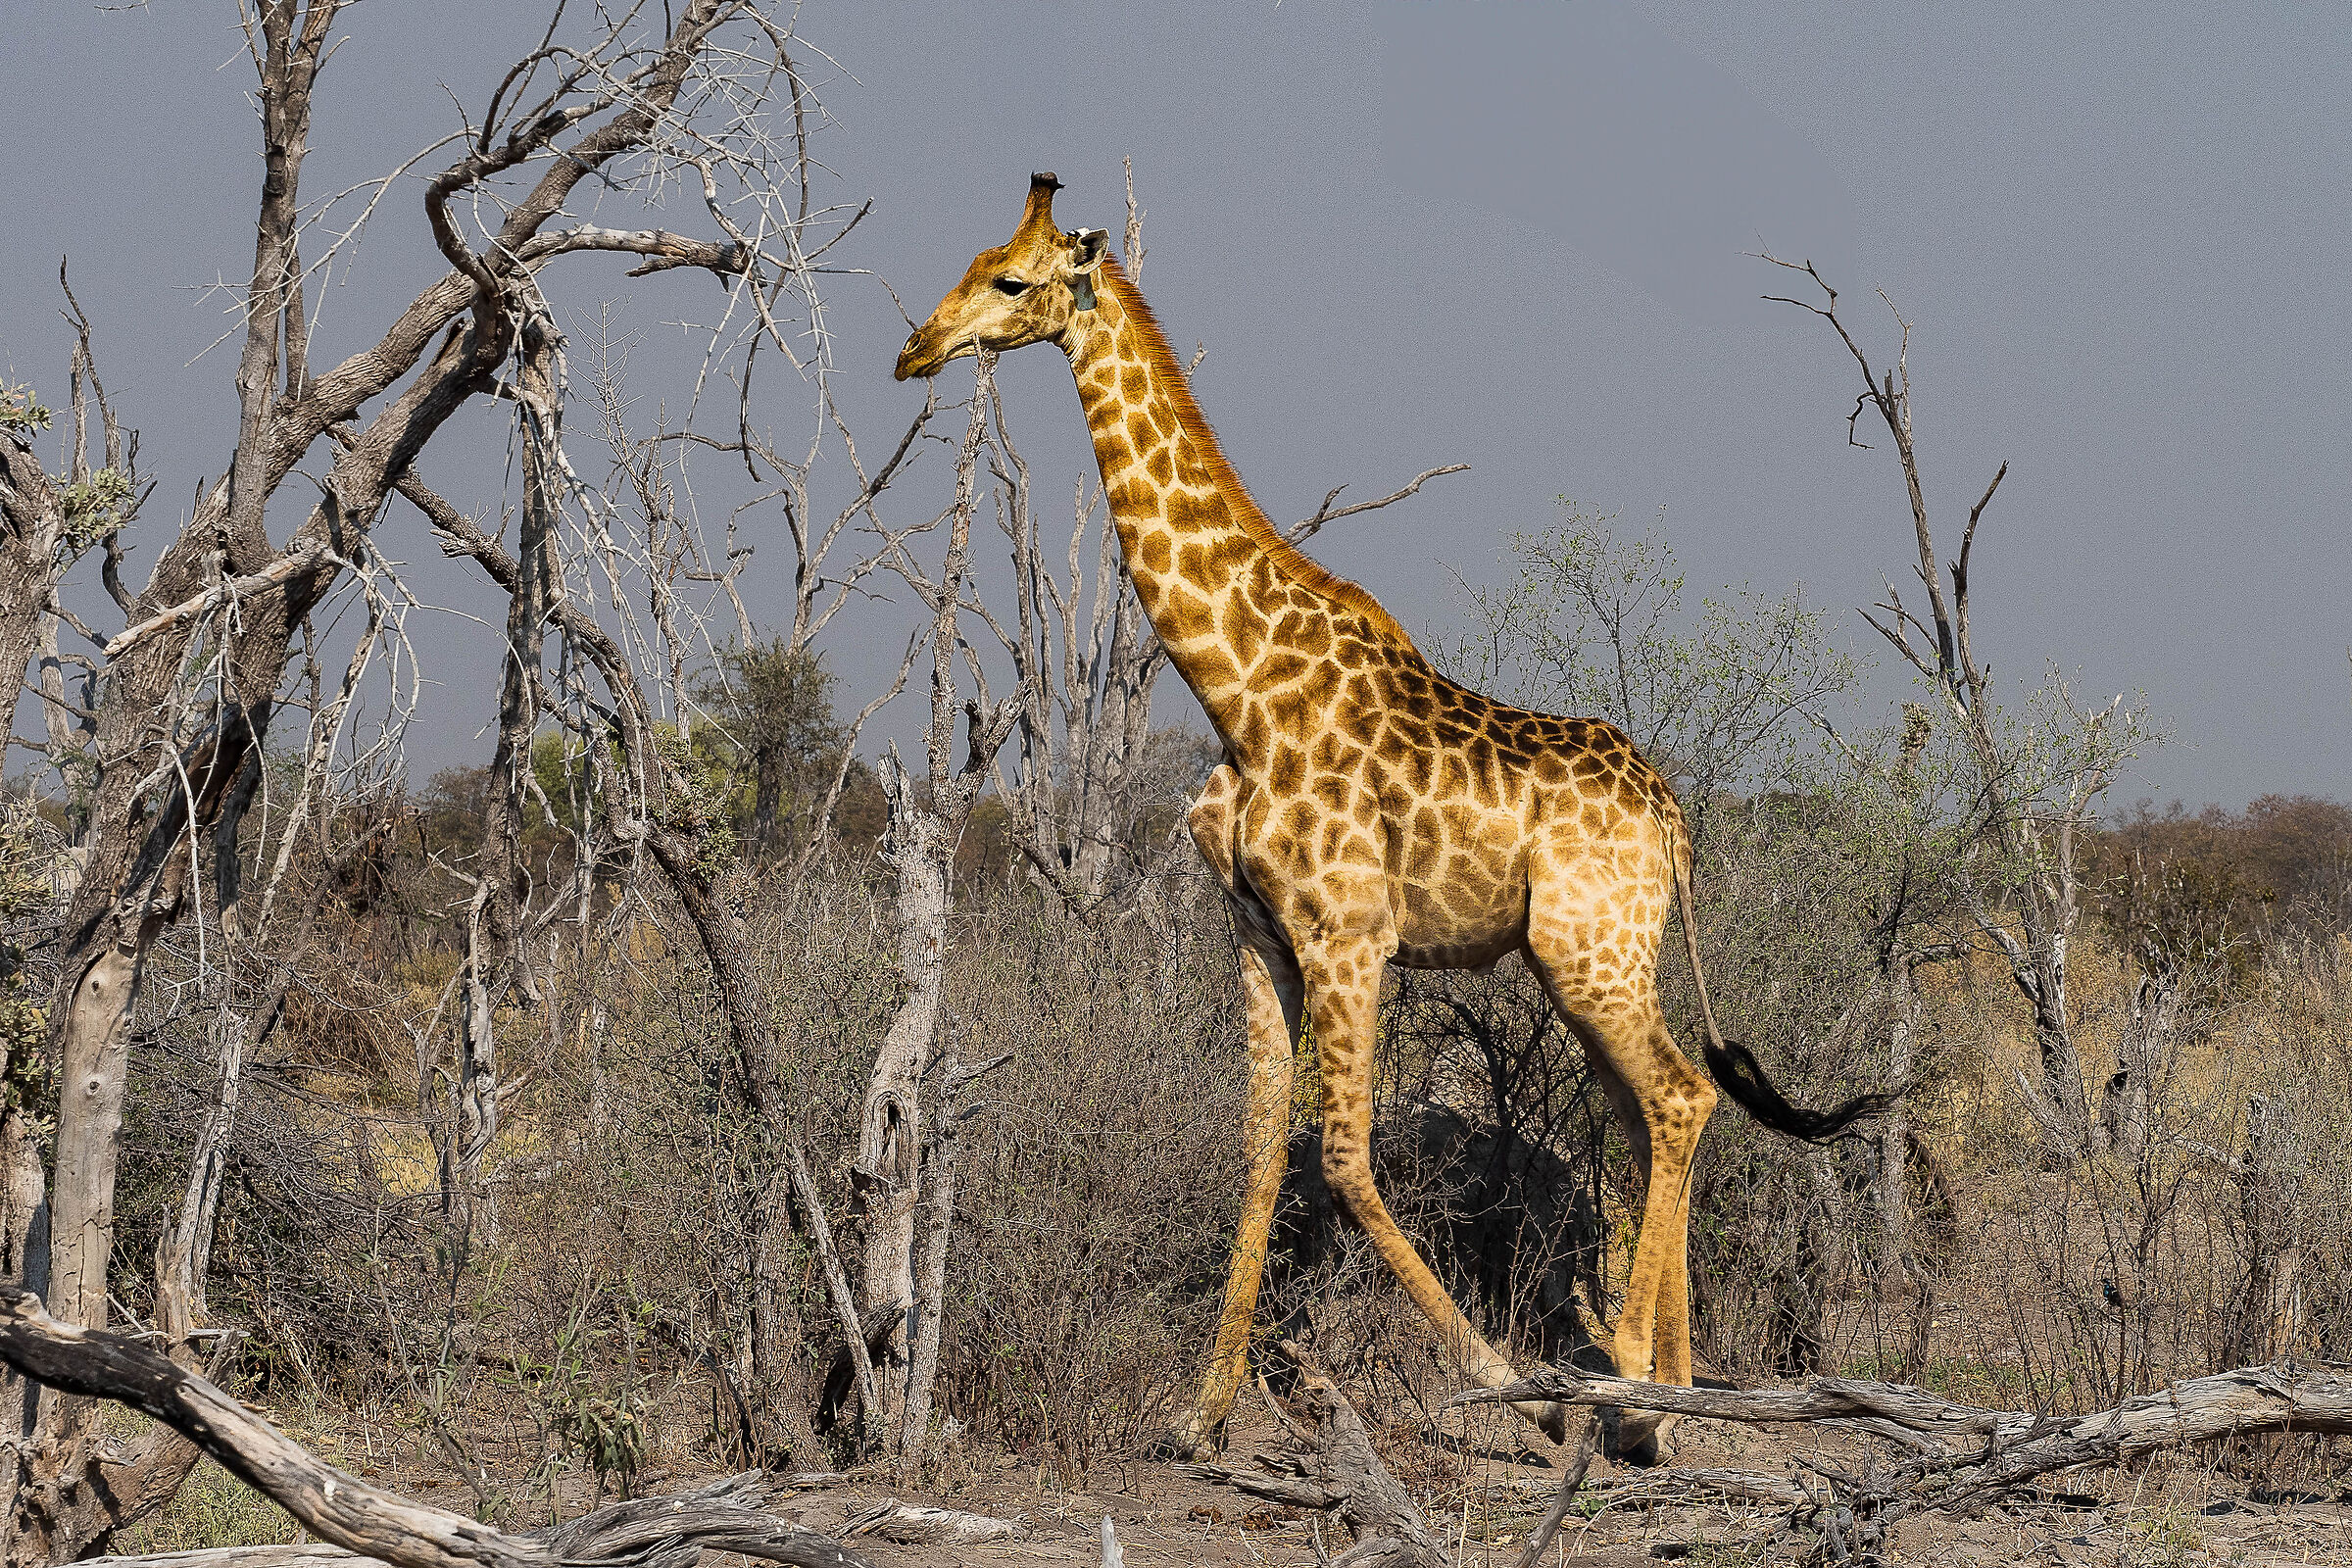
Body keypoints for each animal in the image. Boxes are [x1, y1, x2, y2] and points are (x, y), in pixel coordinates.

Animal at [895, 175, 1893, 1460]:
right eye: (973, 260)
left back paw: (1625, 1384)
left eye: (1010, 279)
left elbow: (1349, 1163)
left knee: (1678, 1095)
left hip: (1591, 951)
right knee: (1652, 1110)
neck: (1238, 691)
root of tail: (1672, 813)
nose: (916, 348)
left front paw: (1517, 1393)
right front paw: (1199, 1414)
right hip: (1590, 959)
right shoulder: (1257, 932)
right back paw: (1668, 1390)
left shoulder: (1351, 934)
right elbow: (1263, 1151)